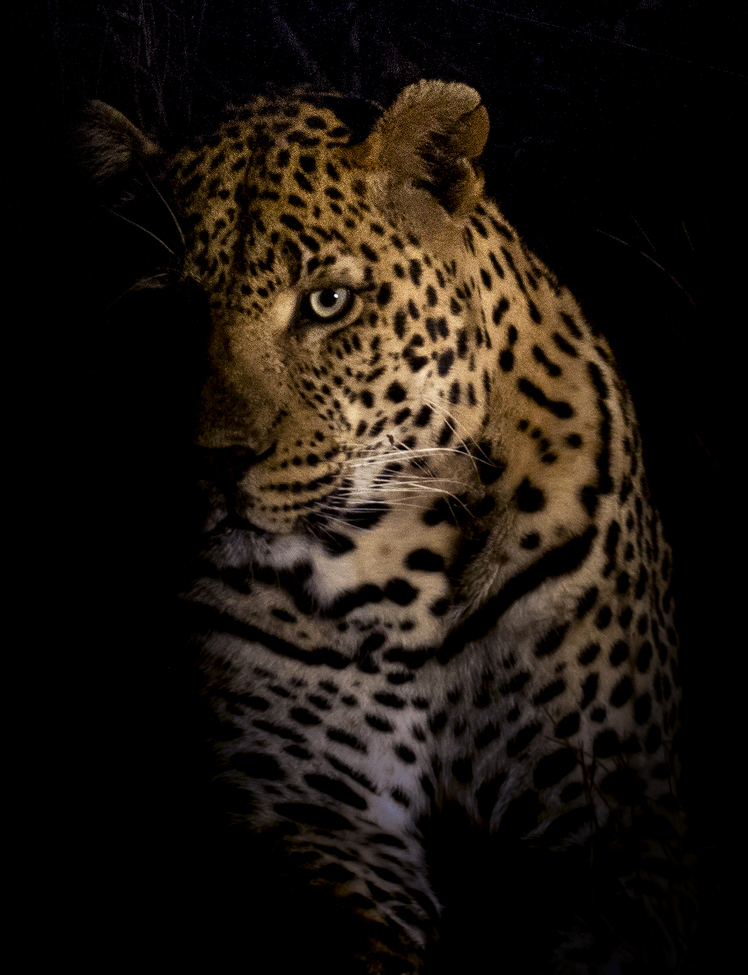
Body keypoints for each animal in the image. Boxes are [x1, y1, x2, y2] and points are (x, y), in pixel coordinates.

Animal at [82, 81, 691, 973]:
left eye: (327, 302)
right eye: (168, 310)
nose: (218, 460)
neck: (398, 572)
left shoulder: (621, 827)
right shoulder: (318, 822)